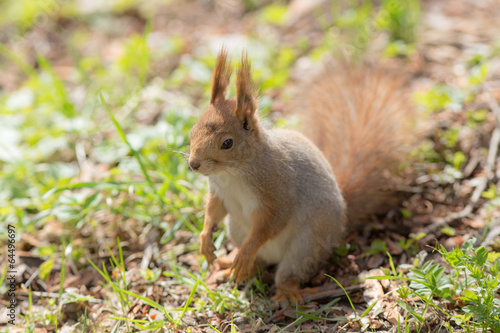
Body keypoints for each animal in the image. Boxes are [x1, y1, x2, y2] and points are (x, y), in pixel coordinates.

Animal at [188, 48, 414, 300]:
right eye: (192, 130)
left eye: (227, 143)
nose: (193, 164)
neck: (233, 173)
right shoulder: (219, 191)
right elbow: (213, 211)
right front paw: (205, 240)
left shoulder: (277, 191)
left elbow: (270, 224)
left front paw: (245, 253)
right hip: (236, 229)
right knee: (259, 263)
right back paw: (229, 267)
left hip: (306, 246)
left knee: (288, 273)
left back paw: (287, 291)